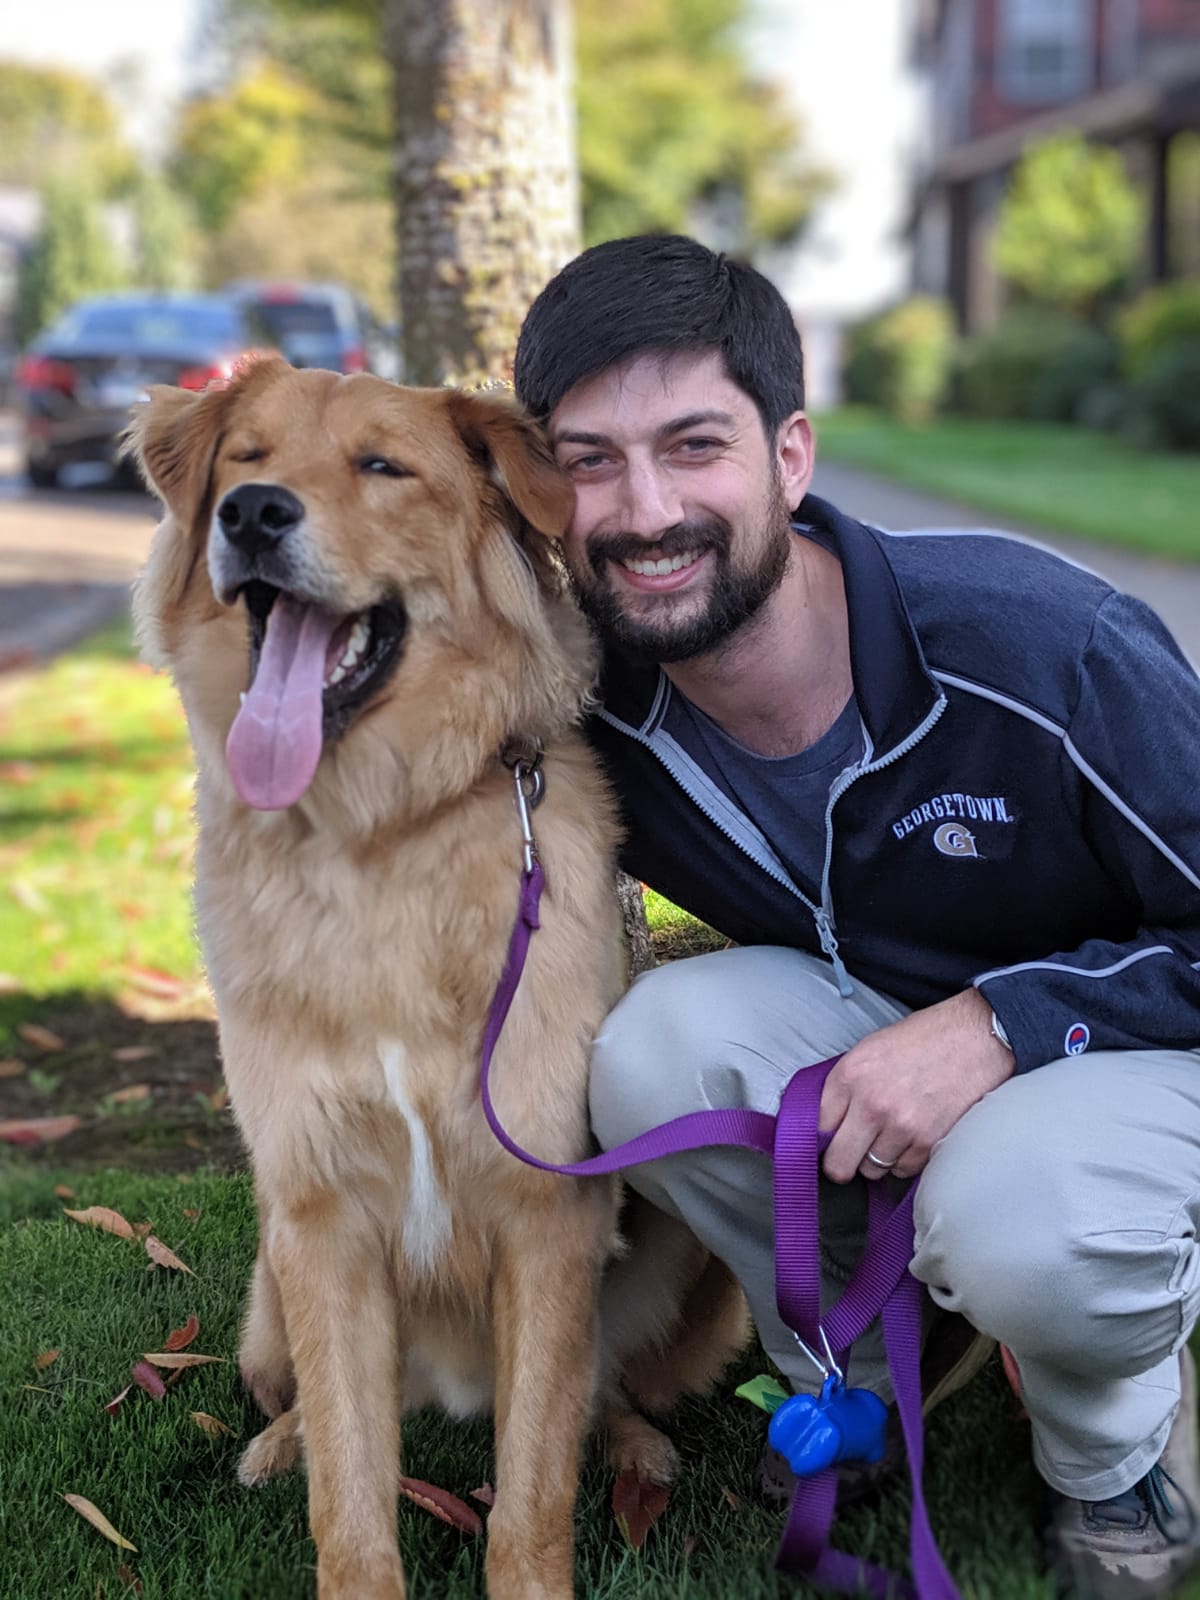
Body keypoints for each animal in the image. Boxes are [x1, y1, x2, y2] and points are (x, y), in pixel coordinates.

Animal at [131, 363, 752, 1600]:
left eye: (383, 466)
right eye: (244, 457)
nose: (253, 514)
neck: (377, 837)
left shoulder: (548, 1211)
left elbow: (535, 1484)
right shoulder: (319, 1214)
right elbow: (350, 1494)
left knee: (598, 1392)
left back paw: (636, 1446)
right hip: (268, 1280)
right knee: (319, 1406)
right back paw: (276, 1442)